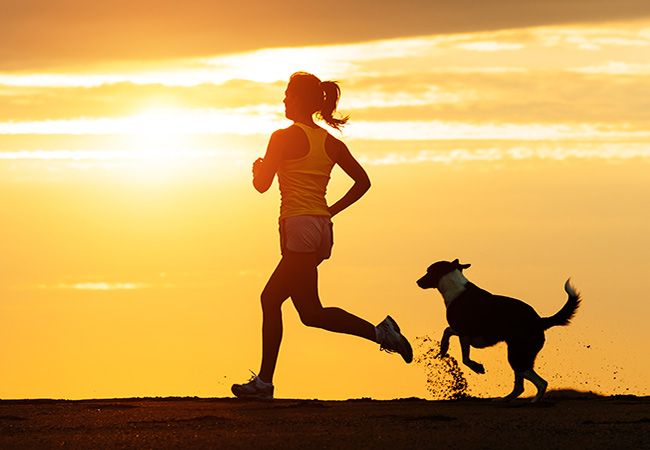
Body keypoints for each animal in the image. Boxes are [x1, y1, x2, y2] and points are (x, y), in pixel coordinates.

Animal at [418, 258, 580, 402]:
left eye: (428, 271)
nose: (417, 282)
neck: (454, 286)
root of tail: (540, 321)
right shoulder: (462, 332)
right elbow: (447, 331)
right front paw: (443, 348)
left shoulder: (464, 333)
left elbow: (465, 358)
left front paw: (477, 367)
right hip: (518, 355)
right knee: (520, 387)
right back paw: (503, 400)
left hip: (517, 356)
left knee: (541, 383)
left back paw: (533, 402)